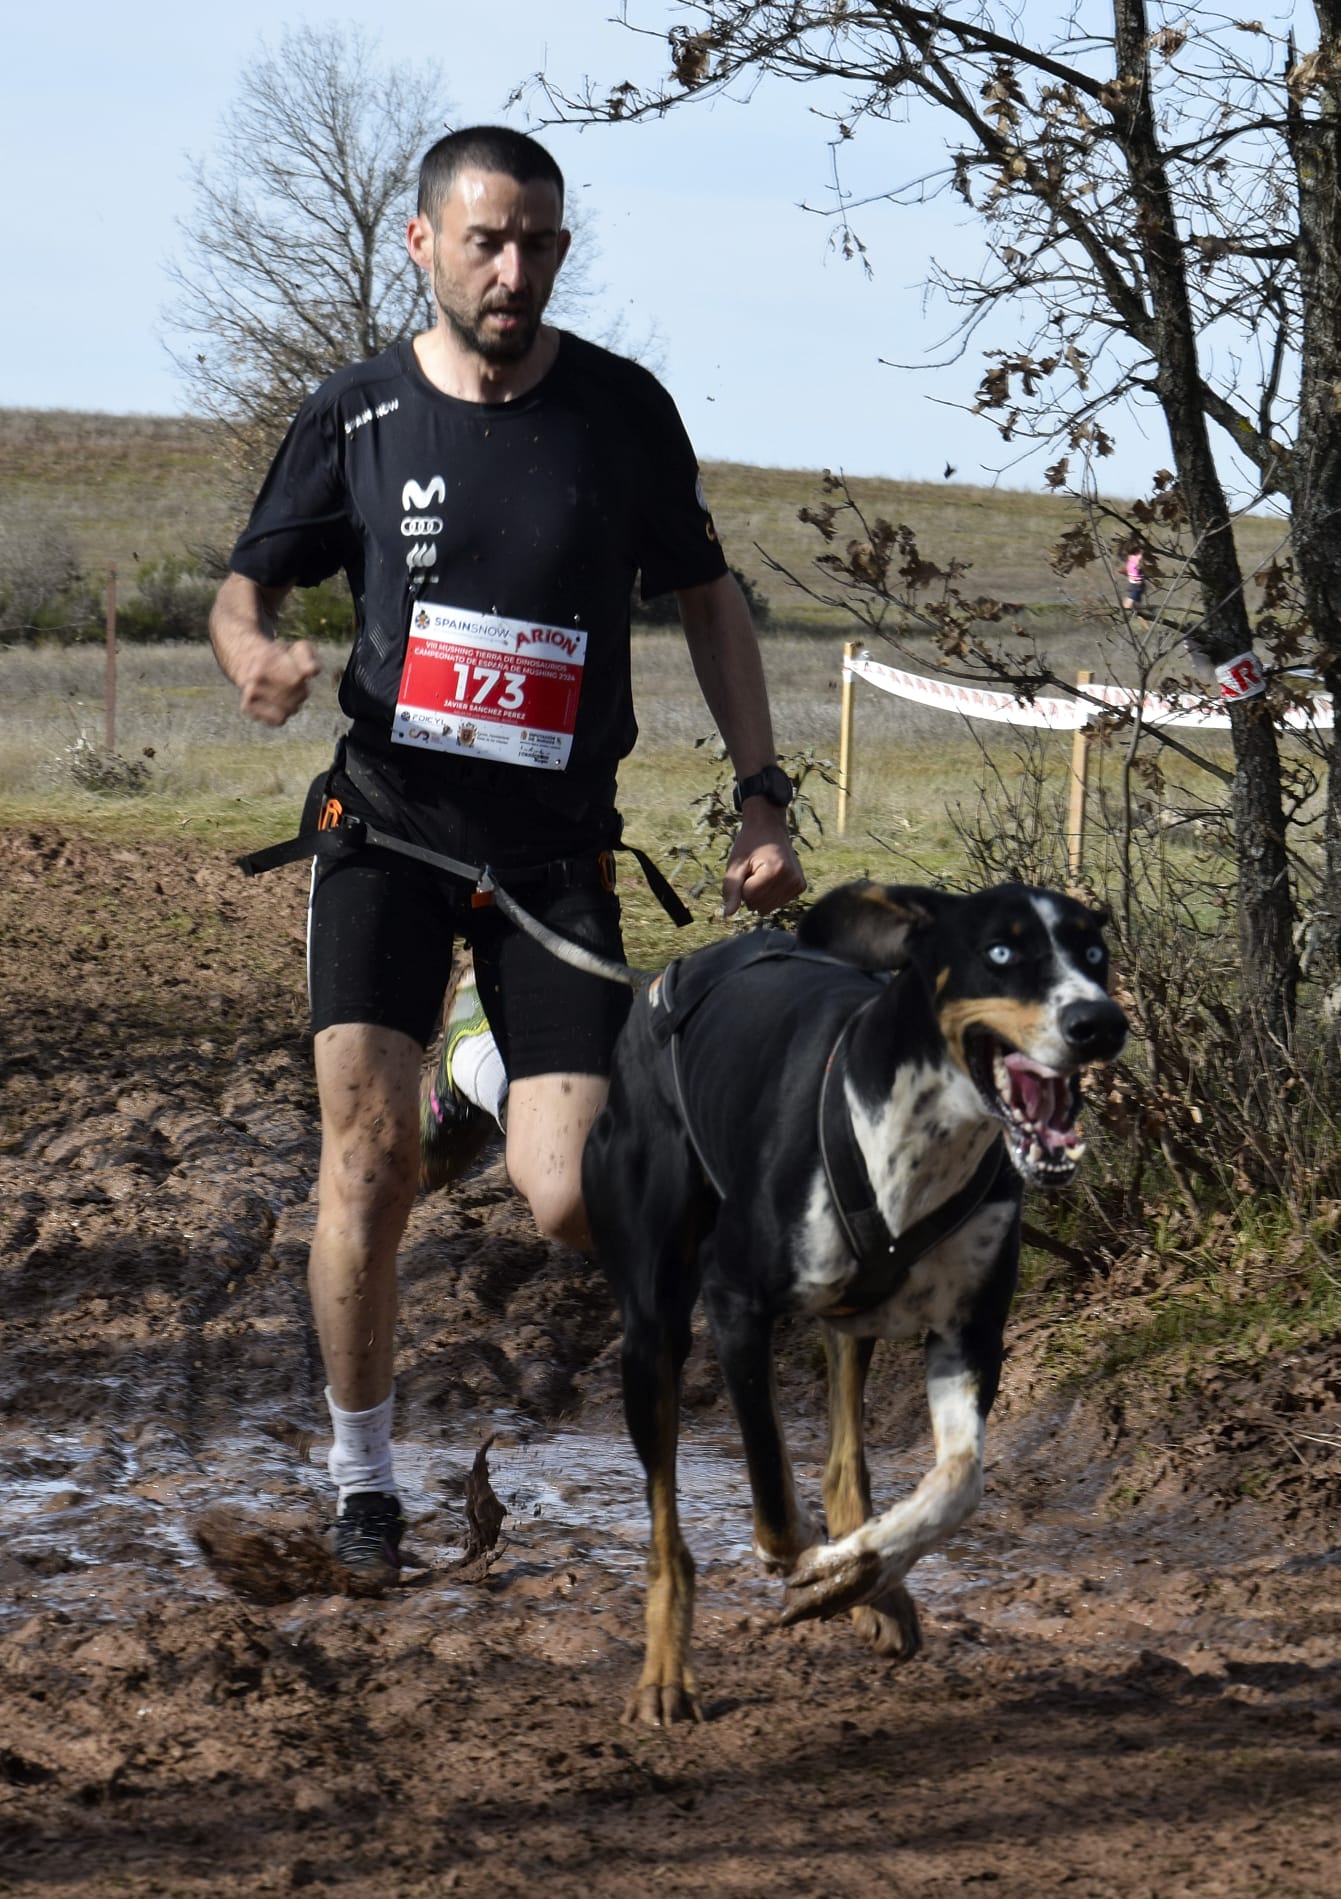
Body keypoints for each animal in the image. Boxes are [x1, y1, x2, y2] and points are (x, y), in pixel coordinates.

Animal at [581, 881, 1124, 1731]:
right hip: (653, 1328)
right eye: (1001, 951)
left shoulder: (970, 1332)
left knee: (843, 1464)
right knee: (668, 1530)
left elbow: (958, 1481)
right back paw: (666, 1671)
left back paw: (875, 1589)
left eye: (1092, 951)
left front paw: (858, 1570)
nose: (1099, 1023)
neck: (925, 1137)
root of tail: (661, 981)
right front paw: (806, 1554)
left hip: (850, 1319)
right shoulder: (733, 1301)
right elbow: (773, 1496)